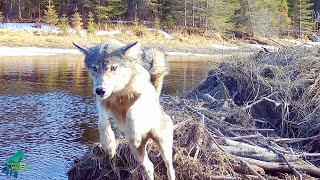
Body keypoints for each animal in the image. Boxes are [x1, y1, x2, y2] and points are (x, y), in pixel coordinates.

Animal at [74, 40, 175, 179]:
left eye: (113, 68)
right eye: (95, 68)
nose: (100, 90)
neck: (120, 92)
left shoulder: (145, 95)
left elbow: (131, 111)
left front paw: (134, 134)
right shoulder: (101, 102)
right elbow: (102, 122)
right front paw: (109, 145)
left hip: (163, 145)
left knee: (170, 167)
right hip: (137, 152)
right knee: (150, 166)